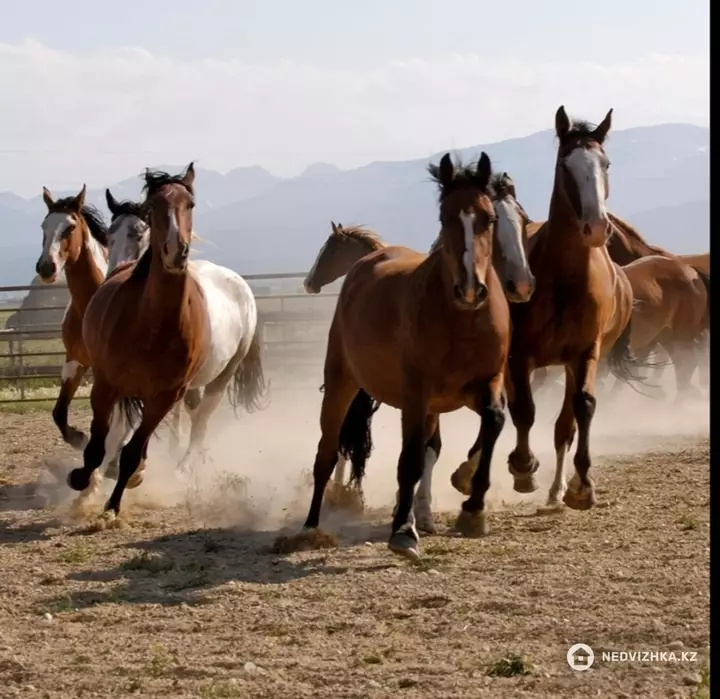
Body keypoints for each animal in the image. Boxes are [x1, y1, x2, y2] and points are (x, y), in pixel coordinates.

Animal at [65, 165, 264, 524]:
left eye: (190, 204)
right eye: (153, 207)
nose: (176, 250)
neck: (152, 322)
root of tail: (239, 284)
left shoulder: (165, 395)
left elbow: (132, 451)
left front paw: (113, 504)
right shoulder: (107, 384)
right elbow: (99, 443)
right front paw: (82, 480)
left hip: (221, 377)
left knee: (200, 423)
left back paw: (185, 468)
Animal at [296, 152, 524, 564]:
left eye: (489, 218)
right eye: (445, 218)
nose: (470, 289)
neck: (462, 320)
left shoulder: (483, 386)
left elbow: (492, 424)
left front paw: (472, 508)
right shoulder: (416, 396)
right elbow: (411, 459)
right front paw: (403, 530)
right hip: (340, 384)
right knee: (327, 452)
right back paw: (310, 527)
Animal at [462, 108, 648, 516]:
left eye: (605, 163)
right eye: (566, 165)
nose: (597, 227)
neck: (566, 279)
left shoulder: (586, 354)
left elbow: (582, 408)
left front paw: (582, 487)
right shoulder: (519, 357)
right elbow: (523, 410)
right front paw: (522, 468)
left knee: (565, 424)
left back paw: (558, 489)